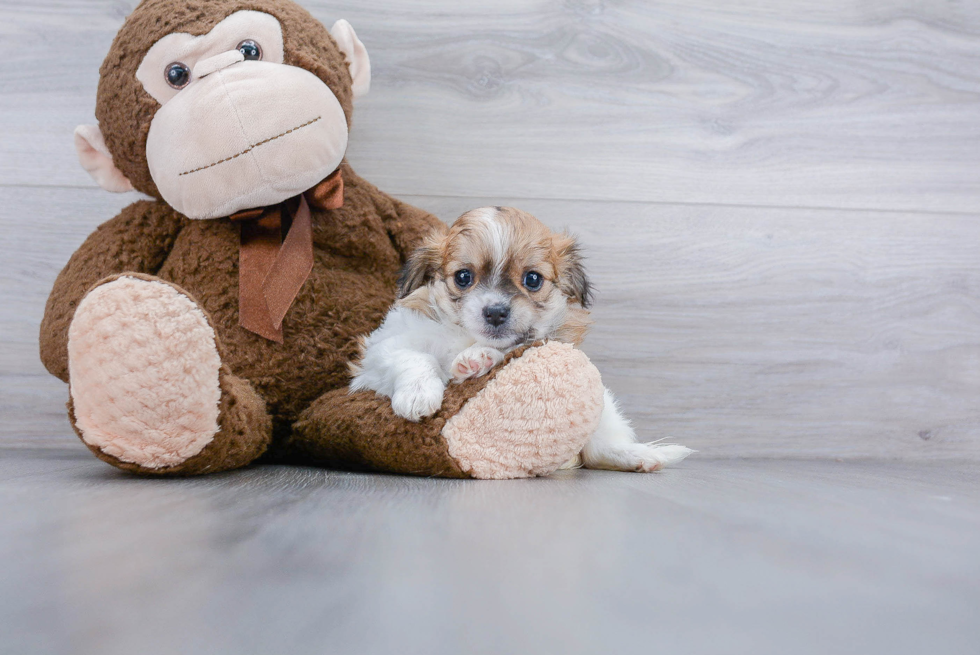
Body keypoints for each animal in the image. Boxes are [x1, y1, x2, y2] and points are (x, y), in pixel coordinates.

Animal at [348, 208, 692, 474]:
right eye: (463, 277)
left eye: (533, 279)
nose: (496, 311)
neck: (464, 335)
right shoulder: (379, 352)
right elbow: (414, 356)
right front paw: (419, 394)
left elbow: (509, 347)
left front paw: (477, 358)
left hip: (604, 407)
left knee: (597, 446)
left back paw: (637, 456)